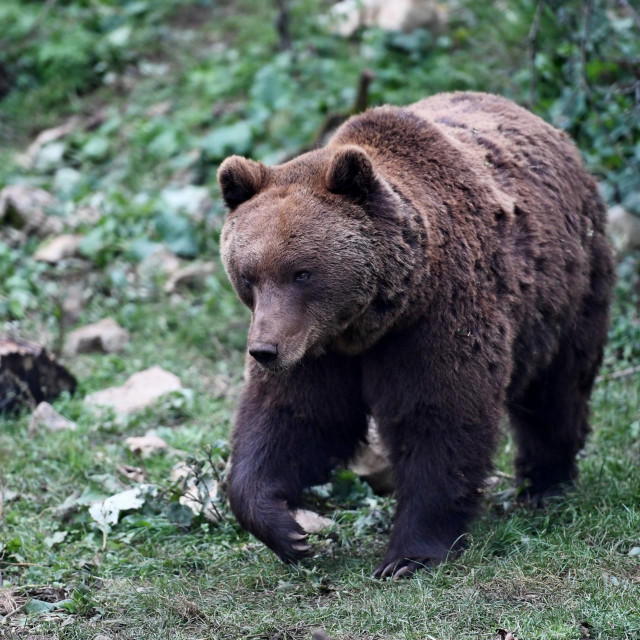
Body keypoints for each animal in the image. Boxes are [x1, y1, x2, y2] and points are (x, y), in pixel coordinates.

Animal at [219, 91, 616, 580]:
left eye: (302, 273)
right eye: (248, 276)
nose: (264, 351)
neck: (370, 323)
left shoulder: (435, 320)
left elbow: (438, 417)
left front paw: (409, 555)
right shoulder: (317, 349)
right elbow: (293, 419)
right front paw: (286, 530)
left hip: (568, 294)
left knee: (556, 393)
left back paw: (546, 484)